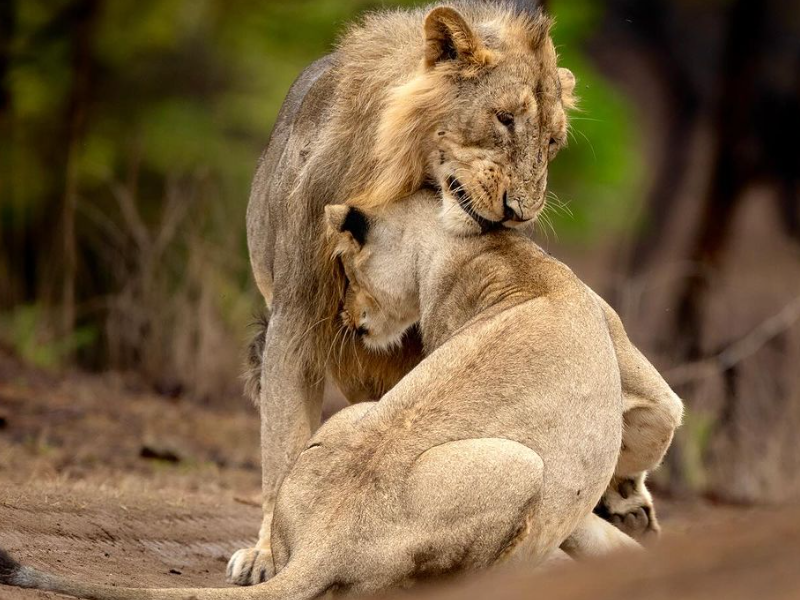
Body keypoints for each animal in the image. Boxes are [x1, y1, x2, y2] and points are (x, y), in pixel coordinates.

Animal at [0, 190, 674, 600]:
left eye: (347, 268)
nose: (347, 317)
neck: (487, 255)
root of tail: (328, 539)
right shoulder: (638, 376)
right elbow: (657, 422)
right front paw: (629, 504)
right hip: (520, 465)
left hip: (349, 420)